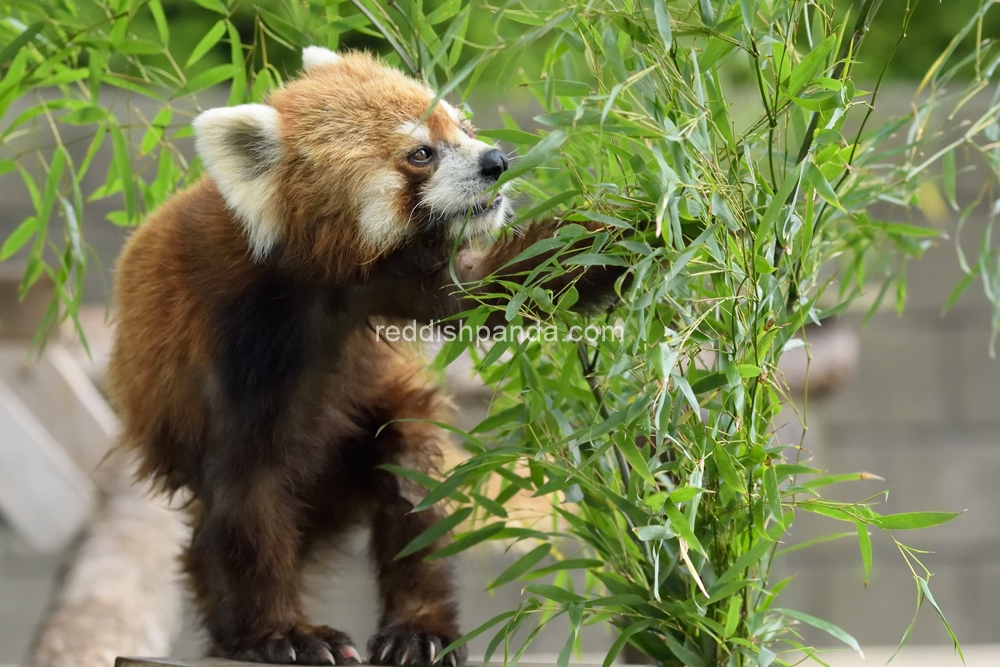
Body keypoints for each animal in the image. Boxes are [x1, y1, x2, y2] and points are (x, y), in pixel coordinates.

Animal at [107, 48, 624, 667]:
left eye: (464, 127)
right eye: (421, 153)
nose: (496, 161)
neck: (319, 281)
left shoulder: (390, 279)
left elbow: (494, 288)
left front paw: (643, 224)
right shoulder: (230, 348)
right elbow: (245, 496)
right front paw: (285, 635)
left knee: (412, 487)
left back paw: (419, 628)